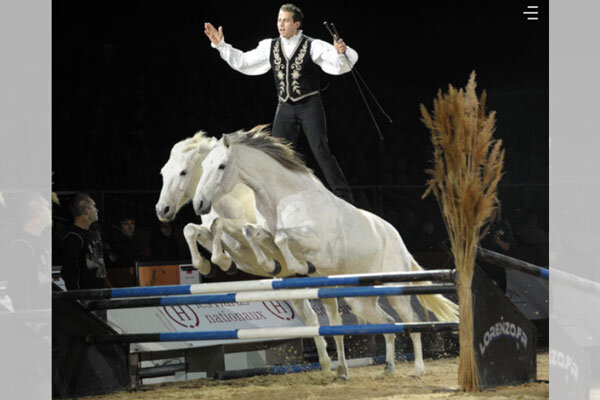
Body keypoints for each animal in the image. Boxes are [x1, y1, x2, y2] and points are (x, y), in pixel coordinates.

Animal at [155, 131, 344, 378]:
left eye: (183, 172)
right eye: (163, 173)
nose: (162, 210)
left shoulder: (255, 232)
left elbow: (222, 225)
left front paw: (227, 262)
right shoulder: (213, 235)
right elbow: (193, 230)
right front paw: (211, 265)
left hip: (323, 276)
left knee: (335, 318)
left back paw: (341, 368)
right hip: (291, 284)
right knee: (312, 319)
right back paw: (326, 365)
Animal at [192, 128, 460, 378]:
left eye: (221, 166)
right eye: (203, 166)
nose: (199, 204)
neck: (284, 196)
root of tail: (399, 241)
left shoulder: (318, 246)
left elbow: (282, 237)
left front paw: (301, 267)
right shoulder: (265, 233)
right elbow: (251, 231)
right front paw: (267, 265)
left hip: (396, 290)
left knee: (412, 322)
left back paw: (417, 369)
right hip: (361, 300)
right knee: (390, 324)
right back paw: (388, 368)